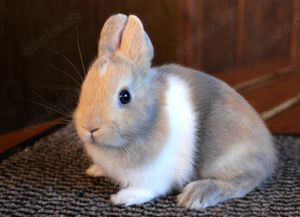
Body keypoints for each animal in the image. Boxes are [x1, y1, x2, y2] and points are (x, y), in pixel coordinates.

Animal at [74, 13, 276, 209]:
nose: (90, 128)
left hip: (230, 157)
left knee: (243, 181)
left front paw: (123, 198)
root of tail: (269, 151)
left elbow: (146, 190)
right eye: (83, 89)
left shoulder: (153, 177)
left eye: (125, 96)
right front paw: (94, 170)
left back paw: (195, 195)